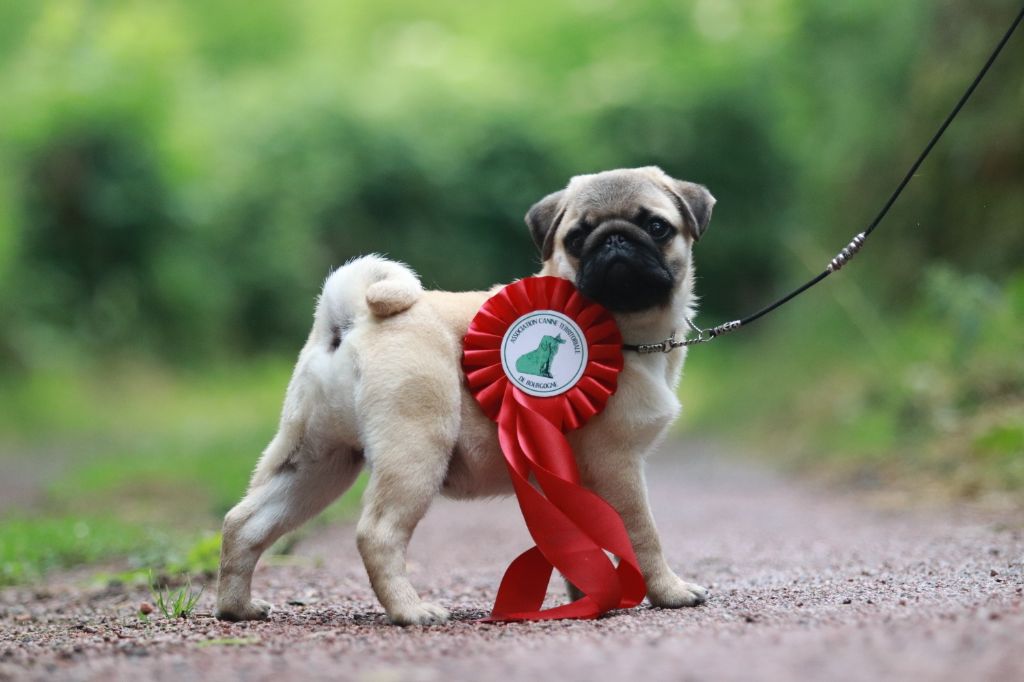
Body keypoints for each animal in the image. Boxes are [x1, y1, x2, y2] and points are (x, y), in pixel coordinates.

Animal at [215, 163, 712, 622]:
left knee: (244, 523)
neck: (626, 332)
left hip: (316, 463)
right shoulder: (616, 464)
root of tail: (351, 319)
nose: (614, 240)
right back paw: (411, 611)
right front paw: (668, 591)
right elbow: (642, 534)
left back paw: (237, 608)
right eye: (577, 237)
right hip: (416, 452)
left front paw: (588, 596)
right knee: (377, 534)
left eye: (657, 227)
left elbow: (576, 543)